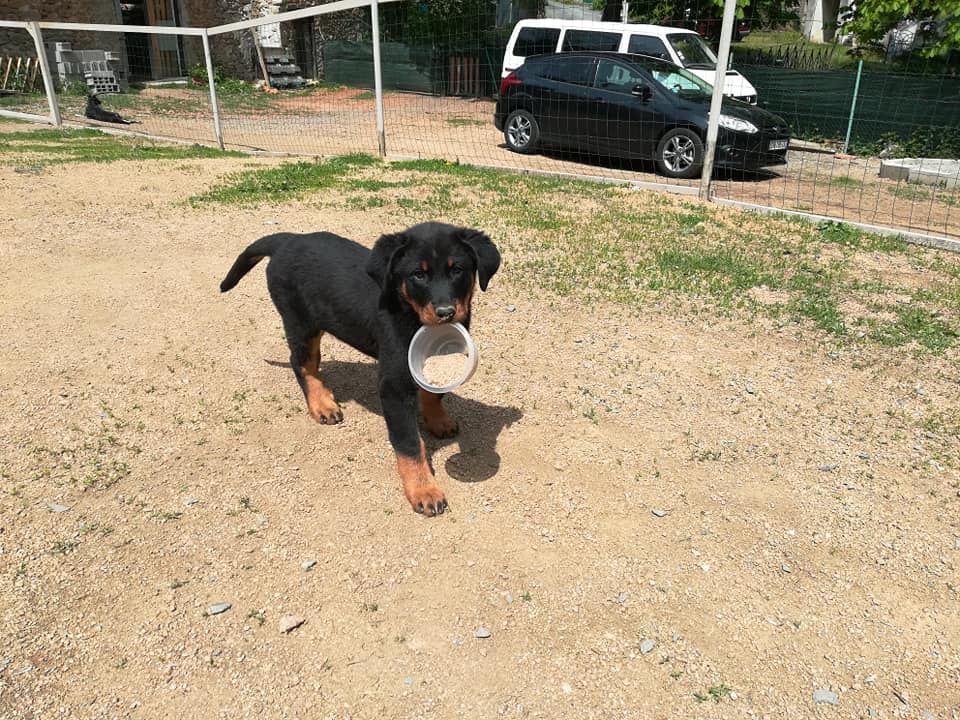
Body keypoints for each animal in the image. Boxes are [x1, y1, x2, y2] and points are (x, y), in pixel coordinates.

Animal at [220, 222, 498, 516]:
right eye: (418, 275)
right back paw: (322, 404)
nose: (446, 312)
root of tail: (287, 240)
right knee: (302, 364)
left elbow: (434, 392)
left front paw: (438, 420)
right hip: (301, 323)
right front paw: (424, 490)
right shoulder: (393, 386)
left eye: (458, 270)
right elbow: (409, 443)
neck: (408, 310)